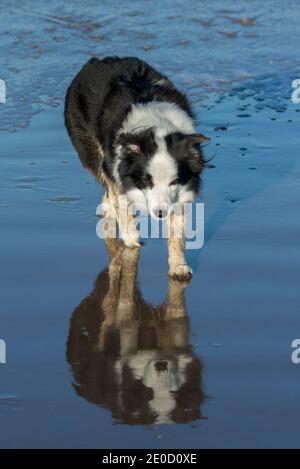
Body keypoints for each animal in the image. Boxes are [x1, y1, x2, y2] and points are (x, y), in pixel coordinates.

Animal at [64, 56, 207, 280]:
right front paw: (131, 237)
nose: (160, 213)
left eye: (174, 181)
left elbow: (176, 230)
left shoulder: (181, 190)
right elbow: (122, 203)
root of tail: (97, 60)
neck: (157, 128)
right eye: (146, 181)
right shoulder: (118, 169)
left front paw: (178, 266)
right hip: (91, 150)